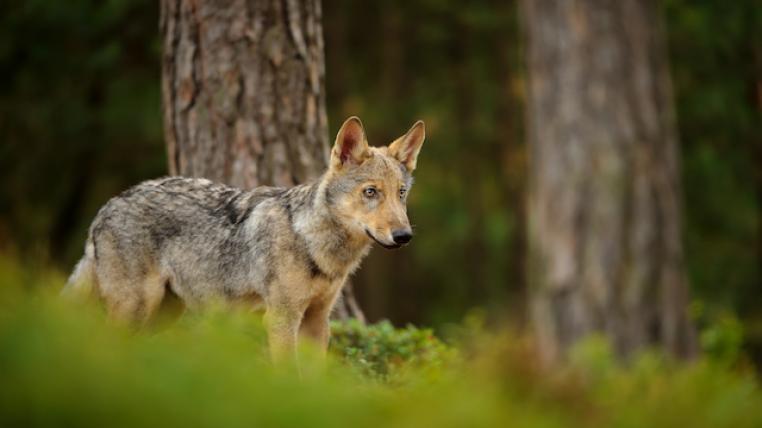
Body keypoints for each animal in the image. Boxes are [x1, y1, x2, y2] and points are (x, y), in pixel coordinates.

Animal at [65, 117, 425, 360]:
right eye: (371, 192)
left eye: (401, 193)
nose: (404, 236)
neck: (312, 242)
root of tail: (106, 207)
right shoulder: (281, 318)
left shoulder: (317, 321)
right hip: (136, 309)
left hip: (162, 314)